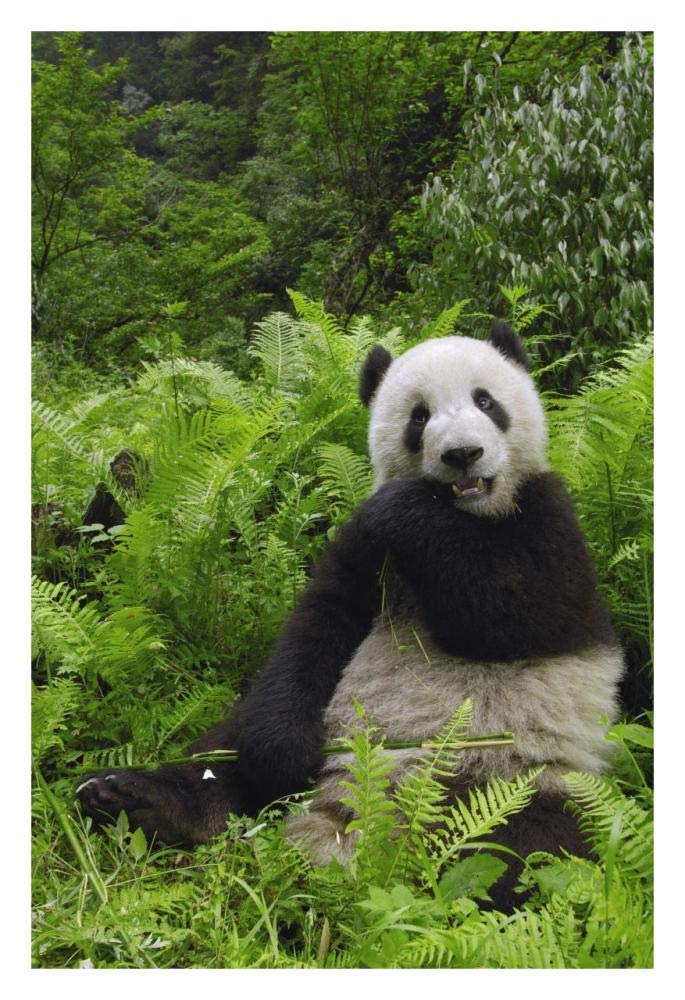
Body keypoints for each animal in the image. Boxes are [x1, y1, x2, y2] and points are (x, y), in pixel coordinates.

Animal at [77, 321, 623, 909]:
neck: (465, 516)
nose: (463, 454)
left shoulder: (550, 517)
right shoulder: (361, 554)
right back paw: (137, 798)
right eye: (419, 416)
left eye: (486, 401)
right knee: (221, 756)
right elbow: (317, 626)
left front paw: (410, 509)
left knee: (527, 848)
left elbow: (522, 616)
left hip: (520, 776)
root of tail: (355, 811)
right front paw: (283, 756)